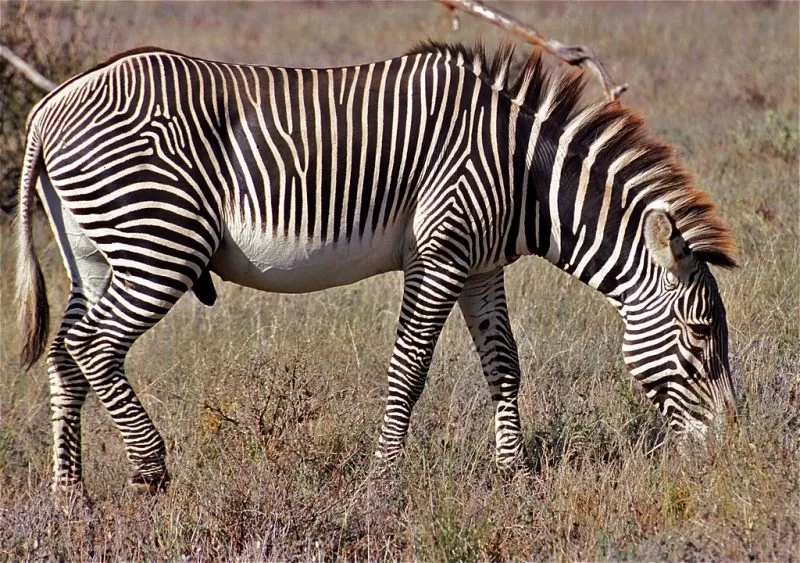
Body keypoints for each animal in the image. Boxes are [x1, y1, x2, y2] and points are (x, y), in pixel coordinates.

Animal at [15, 42, 738, 498]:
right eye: (702, 333)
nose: (729, 447)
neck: (521, 171)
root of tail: (49, 107)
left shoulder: (481, 267)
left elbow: (504, 363)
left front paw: (514, 474)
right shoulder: (441, 253)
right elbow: (409, 369)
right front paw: (384, 479)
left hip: (95, 252)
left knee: (65, 353)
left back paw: (70, 496)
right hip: (158, 241)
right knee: (95, 345)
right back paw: (148, 469)